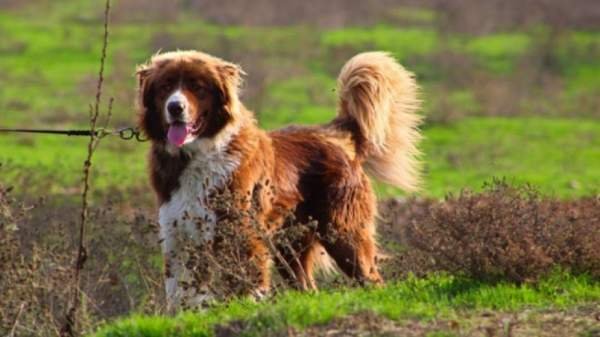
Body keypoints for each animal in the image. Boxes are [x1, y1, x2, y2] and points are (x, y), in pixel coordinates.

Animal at [137, 50, 422, 310]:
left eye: (197, 86)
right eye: (165, 87)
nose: (175, 107)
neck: (197, 154)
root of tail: (336, 136)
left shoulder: (242, 234)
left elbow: (246, 284)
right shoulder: (178, 235)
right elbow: (182, 295)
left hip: (344, 233)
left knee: (372, 279)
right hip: (290, 245)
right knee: (308, 286)